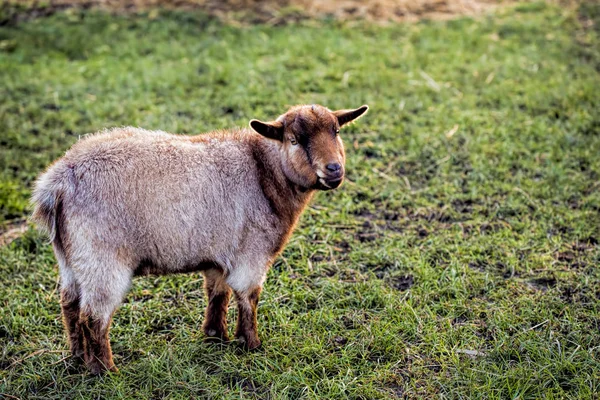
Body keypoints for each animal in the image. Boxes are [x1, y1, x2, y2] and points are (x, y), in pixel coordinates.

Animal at [31, 104, 370, 376]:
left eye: (337, 131)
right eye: (294, 140)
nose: (334, 169)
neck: (263, 172)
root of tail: (57, 182)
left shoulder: (219, 253)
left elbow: (217, 294)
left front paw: (215, 336)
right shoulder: (251, 254)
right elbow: (249, 298)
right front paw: (251, 344)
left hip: (72, 257)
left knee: (69, 304)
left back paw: (78, 356)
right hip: (102, 258)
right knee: (93, 317)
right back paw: (104, 369)